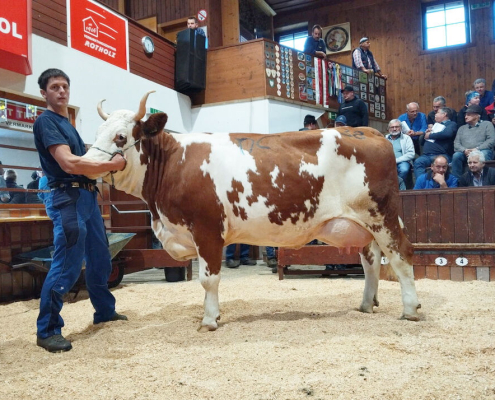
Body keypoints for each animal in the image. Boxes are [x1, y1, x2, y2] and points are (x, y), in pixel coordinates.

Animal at [83, 91, 420, 332]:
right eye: (97, 132)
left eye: (120, 136)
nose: (86, 163)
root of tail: (369, 131)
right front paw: (213, 315)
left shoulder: (207, 229)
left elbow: (208, 279)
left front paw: (209, 320)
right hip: (363, 223)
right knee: (370, 260)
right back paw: (366, 304)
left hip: (383, 216)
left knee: (401, 255)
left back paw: (411, 310)